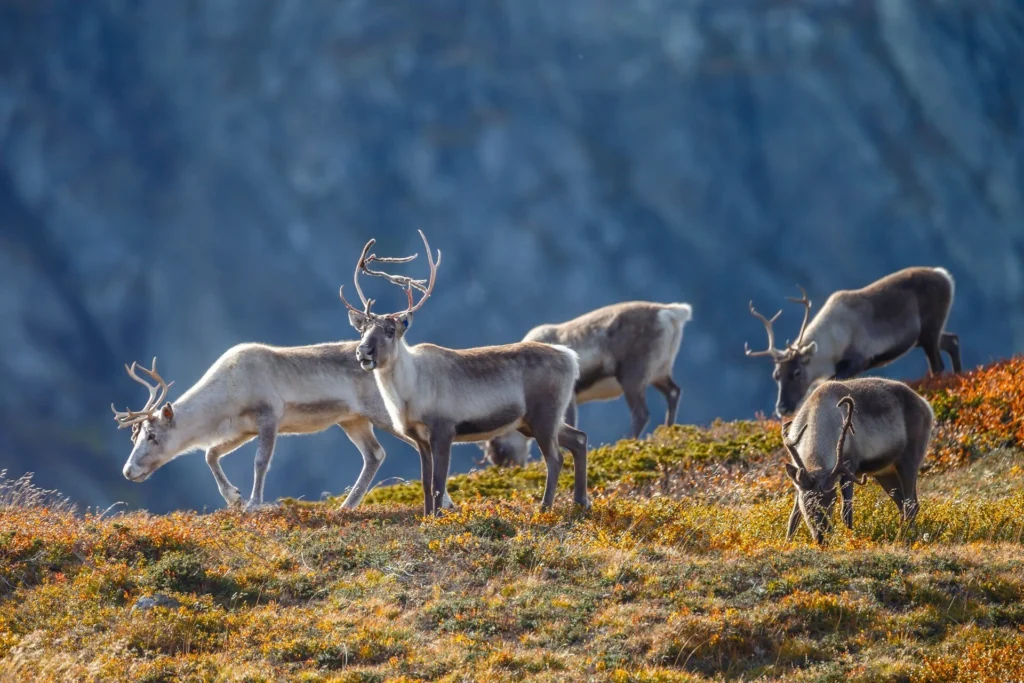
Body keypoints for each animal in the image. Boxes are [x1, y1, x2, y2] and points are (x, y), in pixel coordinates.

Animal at [111, 350, 454, 513]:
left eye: (152, 436)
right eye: (134, 435)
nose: (127, 471)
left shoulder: (268, 417)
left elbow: (260, 462)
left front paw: (252, 503)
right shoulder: (242, 429)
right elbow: (210, 453)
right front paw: (233, 497)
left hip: (381, 412)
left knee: (413, 443)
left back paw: (446, 501)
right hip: (352, 420)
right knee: (375, 454)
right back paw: (347, 505)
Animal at [339, 230, 590, 516]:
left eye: (391, 331)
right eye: (362, 330)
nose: (363, 351)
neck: (408, 393)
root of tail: (570, 358)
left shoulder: (443, 430)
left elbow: (438, 483)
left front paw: (436, 518)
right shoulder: (419, 438)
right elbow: (425, 484)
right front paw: (426, 517)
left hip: (543, 416)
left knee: (556, 458)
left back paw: (545, 508)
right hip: (532, 422)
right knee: (579, 439)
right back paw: (580, 501)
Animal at [480, 300, 693, 468]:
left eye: (499, 449)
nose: (513, 468)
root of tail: (670, 313)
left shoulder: (569, 399)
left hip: (633, 377)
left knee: (641, 413)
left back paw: (627, 442)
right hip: (659, 373)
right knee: (673, 392)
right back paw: (668, 431)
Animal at [744, 266, 961, 418]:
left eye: (797, 372)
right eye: (776, 375)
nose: (782, 408)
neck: (831, 341)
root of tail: (944, 275)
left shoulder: (857, 360)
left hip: (930, 331)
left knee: (937, 365)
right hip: (924, 337)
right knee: (952, 341)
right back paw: (959, 378)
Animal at [780, 376, 934, 545]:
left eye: (833, 500)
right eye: (808, 501)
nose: (822, 537)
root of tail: (926, 405)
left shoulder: (849, 468)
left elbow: (846, 513)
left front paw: (850, 539)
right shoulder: (799, 481)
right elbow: (793, 518)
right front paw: (787, 543)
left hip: (909, 460)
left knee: (911, 504)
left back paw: (901, 539)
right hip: (885, 472)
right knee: (903, 504)